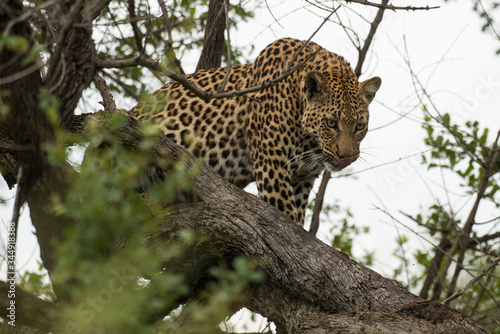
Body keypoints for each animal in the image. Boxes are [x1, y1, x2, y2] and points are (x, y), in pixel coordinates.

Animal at [131, 38, 380, 227]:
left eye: (359, 126)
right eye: (331, 123)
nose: (346, 157)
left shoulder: (302, 178)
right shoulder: (271, 163)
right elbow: (285, 217)